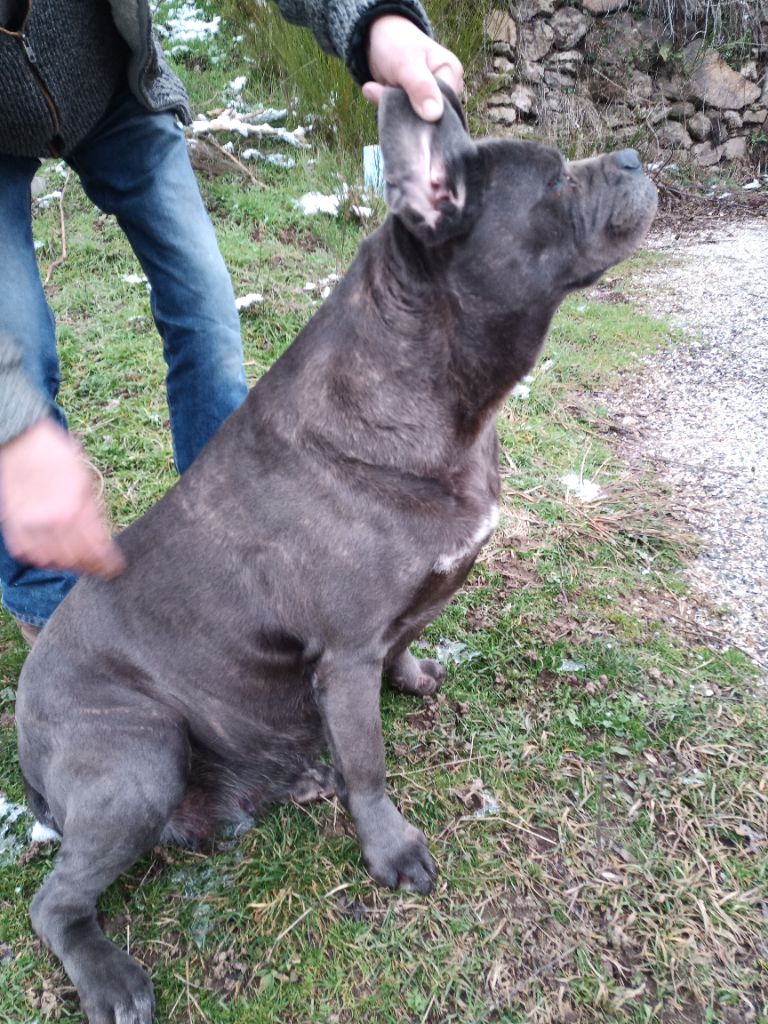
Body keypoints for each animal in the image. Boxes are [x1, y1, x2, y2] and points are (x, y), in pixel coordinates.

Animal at [15, 83, 659, 1019]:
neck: (443, 396)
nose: (637, 157)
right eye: (554, 183)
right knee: (56, 901)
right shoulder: (346, 655)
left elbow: (404, 648)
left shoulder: (383, 633)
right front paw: (391, 851)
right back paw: (111, 977)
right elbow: (369, 763)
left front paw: (417, 675)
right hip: (137, 758)